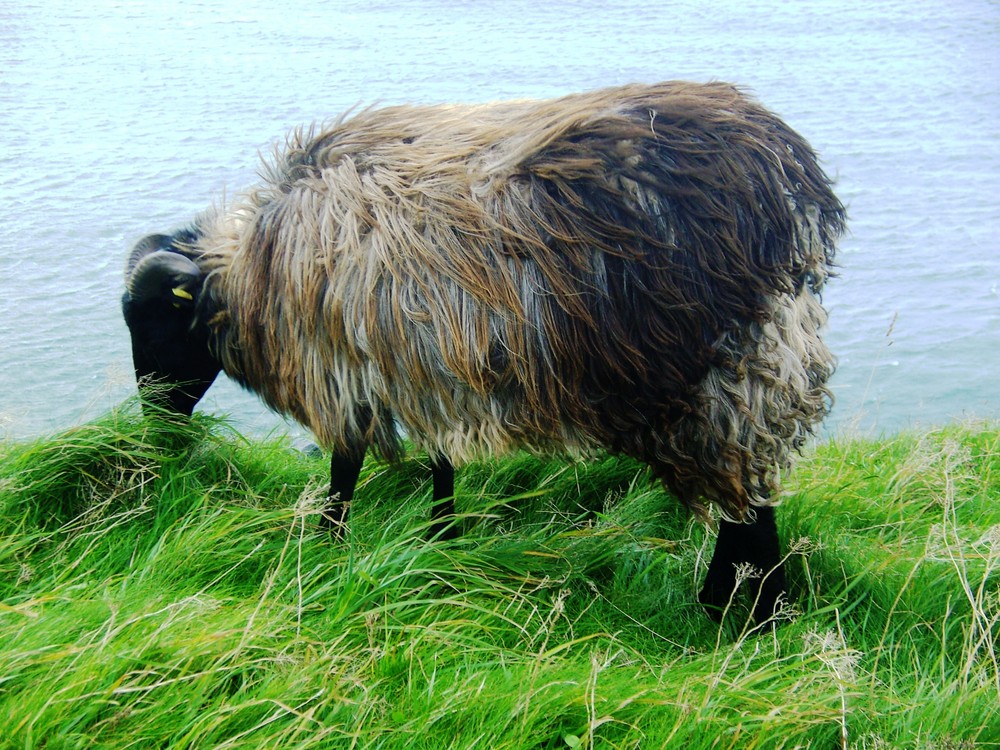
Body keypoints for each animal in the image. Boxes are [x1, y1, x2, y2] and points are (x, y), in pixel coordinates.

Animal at [121, 82, 848, 624]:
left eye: (152, 322)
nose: (157, 423)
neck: (253, 269)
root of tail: (789, 186)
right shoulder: (424, 363)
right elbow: (440, 463)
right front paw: (442, 540)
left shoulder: (345, 368)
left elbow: (343, 472)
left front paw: (329, 546)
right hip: (761, 362)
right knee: (752, 496)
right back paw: (736, 604)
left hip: (724, 373)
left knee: (749, 501)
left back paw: (747, 612)